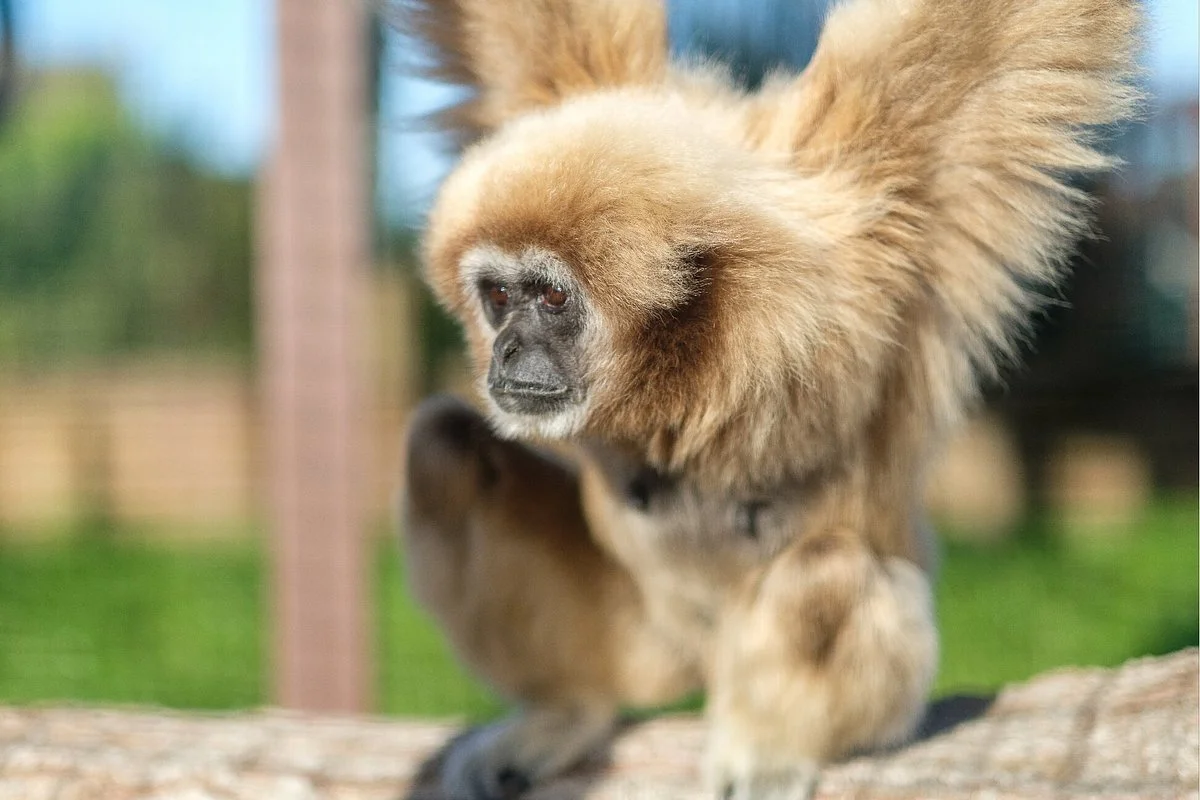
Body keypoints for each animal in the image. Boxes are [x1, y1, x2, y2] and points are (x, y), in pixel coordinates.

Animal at [396, 0, 1142, 797]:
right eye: (498, 296)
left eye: (552, 297)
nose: (506, 348)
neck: (699, 365)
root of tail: (702, 667)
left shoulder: (873, 231)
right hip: (643, 646)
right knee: (443, 451)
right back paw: (566, 711)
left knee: (826, 569)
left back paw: (770, 748)